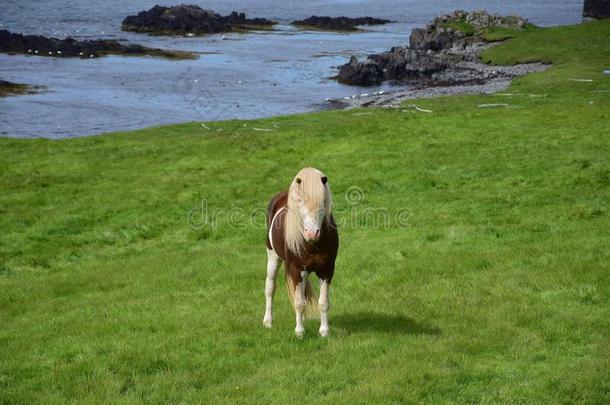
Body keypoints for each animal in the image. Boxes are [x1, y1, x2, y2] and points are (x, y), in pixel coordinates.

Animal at [262, 166, 338, 336]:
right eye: (300, 202)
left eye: (322, 202)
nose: (312, 233)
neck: (312, 244)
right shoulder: (297, 269)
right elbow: (298, 302)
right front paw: (299, 332)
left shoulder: (327, 269)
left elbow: (323, 302)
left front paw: (324, 331)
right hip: (273, 257)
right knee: (270, 287)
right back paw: (268, 322)